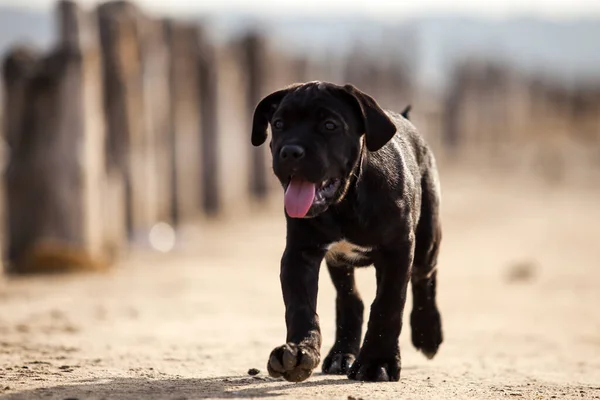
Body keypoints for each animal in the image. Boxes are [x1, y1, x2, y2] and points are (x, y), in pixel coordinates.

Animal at [251, 80, 442, 382]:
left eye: (330, 126)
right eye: (279, 124)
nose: (290, 151)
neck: (345, 203)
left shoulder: (398, 249)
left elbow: (388, 304)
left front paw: (377, 362)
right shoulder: (299, 254)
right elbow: (300, 307)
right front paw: (299, 352)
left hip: (426, 239)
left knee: (425, 277)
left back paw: (427, 334)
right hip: (339, 261)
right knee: (351, 300)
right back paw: (342, 354)